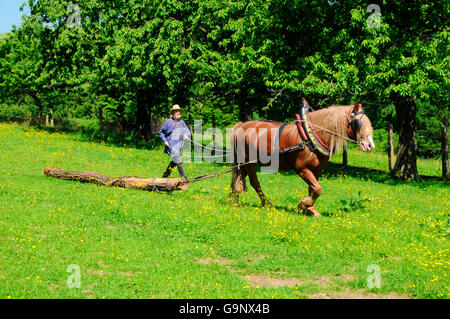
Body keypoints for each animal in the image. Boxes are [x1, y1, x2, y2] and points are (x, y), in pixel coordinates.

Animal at [230, 102, 374, 218]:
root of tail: (240, 126)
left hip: (246, 163)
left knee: (238, 179)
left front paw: (311, 209)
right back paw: (266, 203)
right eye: (357, 123)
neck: (311, 136)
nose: (370, 145)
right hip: (249, 162)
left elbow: (313, 188)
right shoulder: (301, 169)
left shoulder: (317, 170)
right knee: (254, 183)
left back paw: (233, 200)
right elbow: (318, 189)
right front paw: (303, 204)